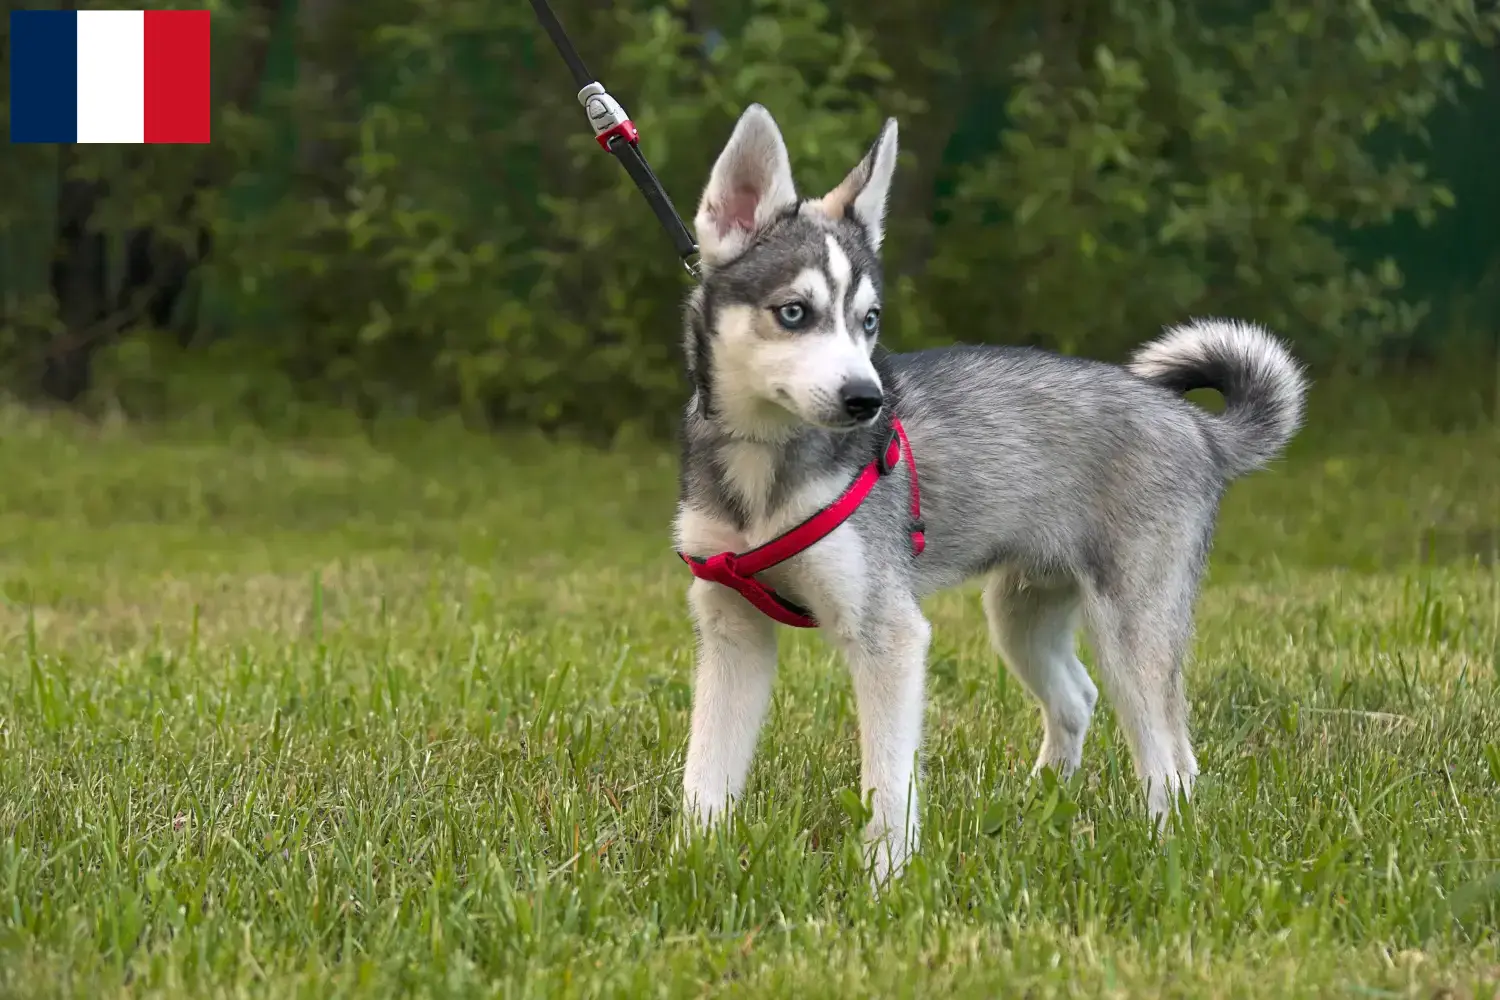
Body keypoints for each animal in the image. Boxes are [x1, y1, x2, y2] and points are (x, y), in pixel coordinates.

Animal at [675, 103, 1308, 881]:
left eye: (869, 320)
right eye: (793, 312)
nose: (867, 399)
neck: (764, 468)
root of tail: (1196, 426)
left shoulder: (889, 635)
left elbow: (889, 786)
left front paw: (886, 882)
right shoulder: (731, 628)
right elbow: (705, 773)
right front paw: (689, 862)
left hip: (1133, 629)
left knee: (1171, 757)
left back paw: (1165, 848)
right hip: (1022, 615)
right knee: (1079, 698)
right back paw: (1039, 802)